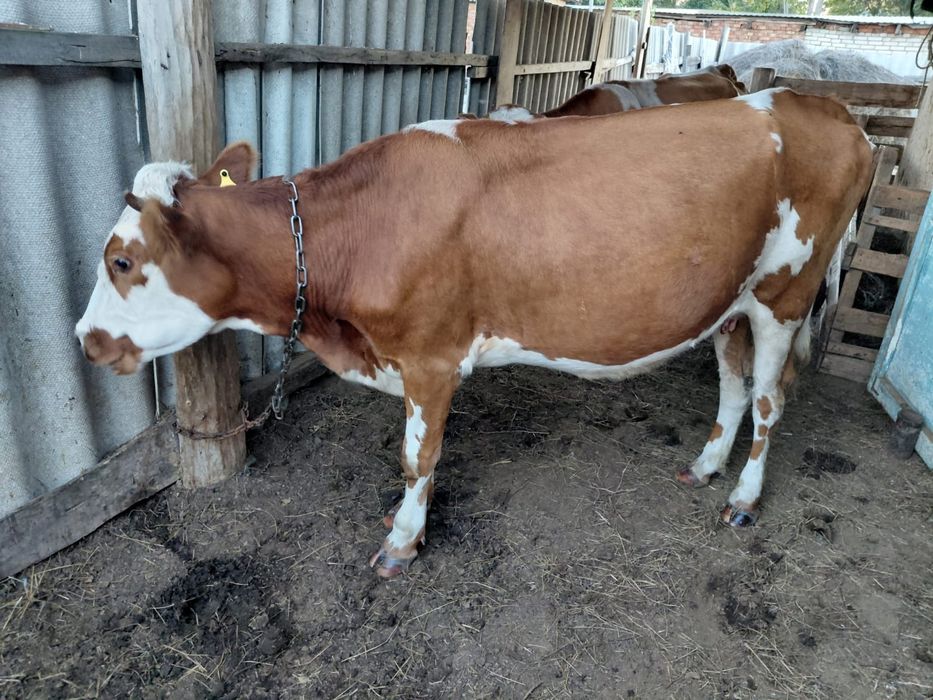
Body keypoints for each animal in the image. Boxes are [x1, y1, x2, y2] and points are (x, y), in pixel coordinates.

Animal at [76, 89, 872, 578]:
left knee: (769, 400)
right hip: (731, 301)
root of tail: (820, 106)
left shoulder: (430, 358)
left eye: (121, 260)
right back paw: (706, 466)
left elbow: (415, 456)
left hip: (785, 294)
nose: (84, 337)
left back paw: (743, 498)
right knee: (734, 383)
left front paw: (403, 541)